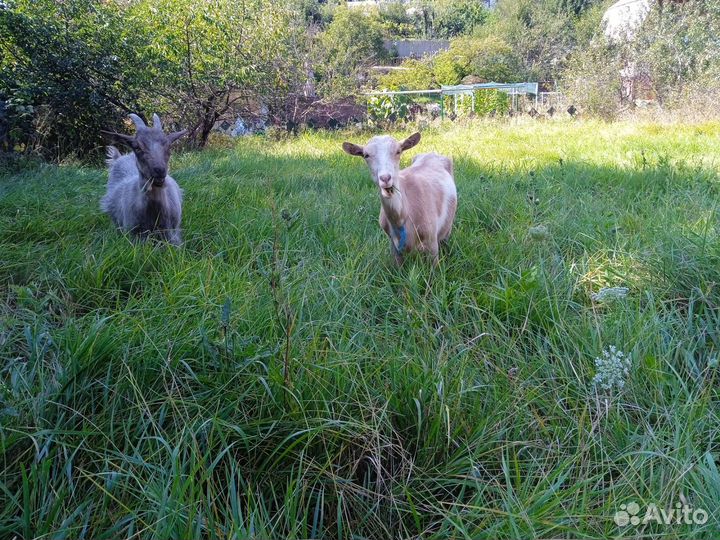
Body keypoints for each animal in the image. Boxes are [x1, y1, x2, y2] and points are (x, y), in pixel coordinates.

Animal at [100, 114, 187, 245]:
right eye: (137, 147)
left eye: (169, 146)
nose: (159, 170)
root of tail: (120, 157)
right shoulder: (133, 234)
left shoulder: (173, 233)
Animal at [342, 132, 457, 265]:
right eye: (366, 155)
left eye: (398, 151)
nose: (385, 178)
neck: (401, 218)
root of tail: (432, 153)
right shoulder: (393, 246)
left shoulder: (431, 241)